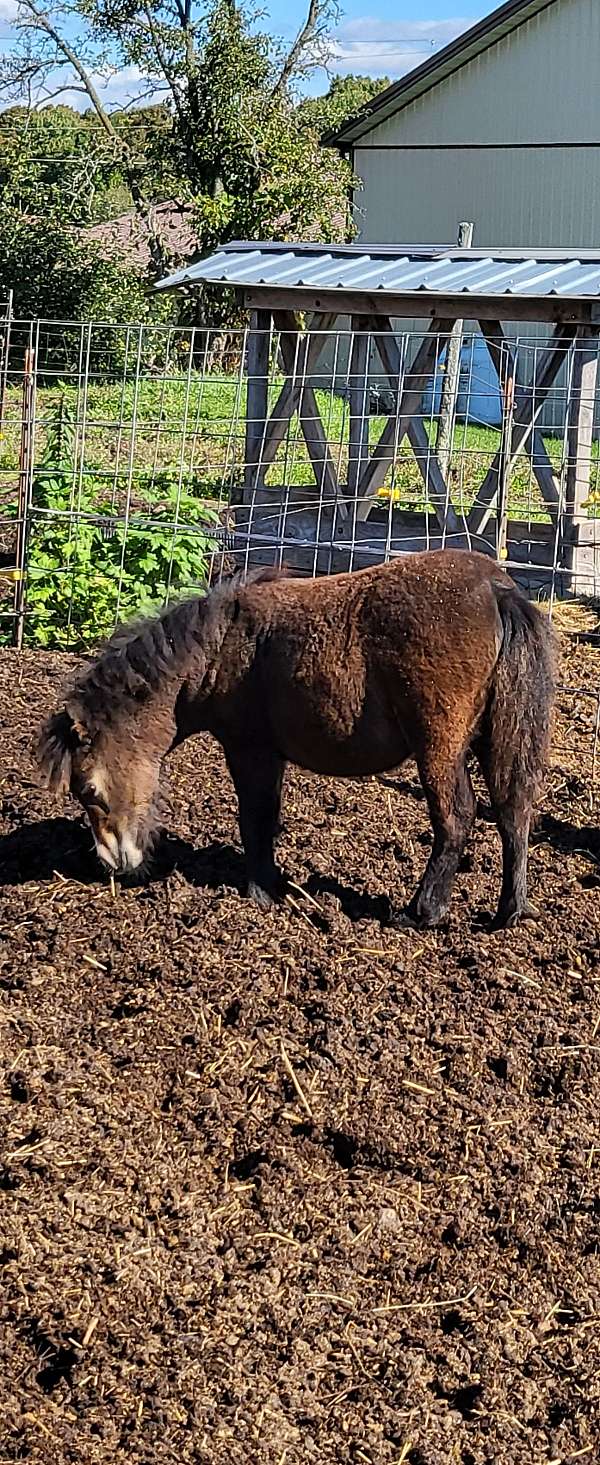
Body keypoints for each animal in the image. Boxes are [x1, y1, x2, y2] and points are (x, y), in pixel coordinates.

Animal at [37, 550, 556, 925]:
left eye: (87, 789)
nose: (114, 863)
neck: (220, 648)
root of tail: (496, 589)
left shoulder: (250, 749)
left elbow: (256, 817)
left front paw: (261, 891)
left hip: (440, 745)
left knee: (457, 817)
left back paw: (421, 911)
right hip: (496, 737)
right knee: (513, 810)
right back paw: (510, 911)